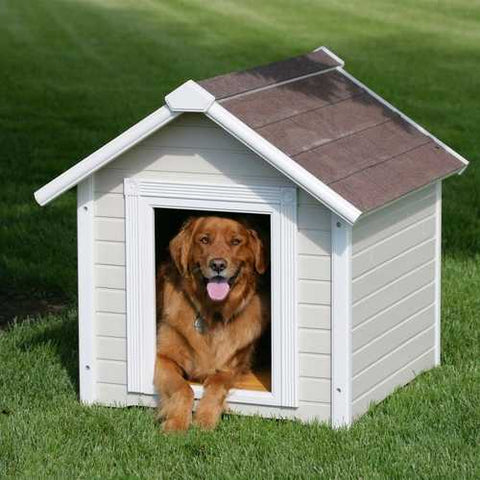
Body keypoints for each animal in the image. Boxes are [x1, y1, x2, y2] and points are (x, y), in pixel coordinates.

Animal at [155, 216, 270, 434]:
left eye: (236, 241)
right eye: (204, 240)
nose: (218, 264)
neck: (213, 312)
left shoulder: (232, 367)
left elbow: (217, 383)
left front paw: (205, 418)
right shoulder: (163, 357)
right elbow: (183, 388)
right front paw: (177, 423)